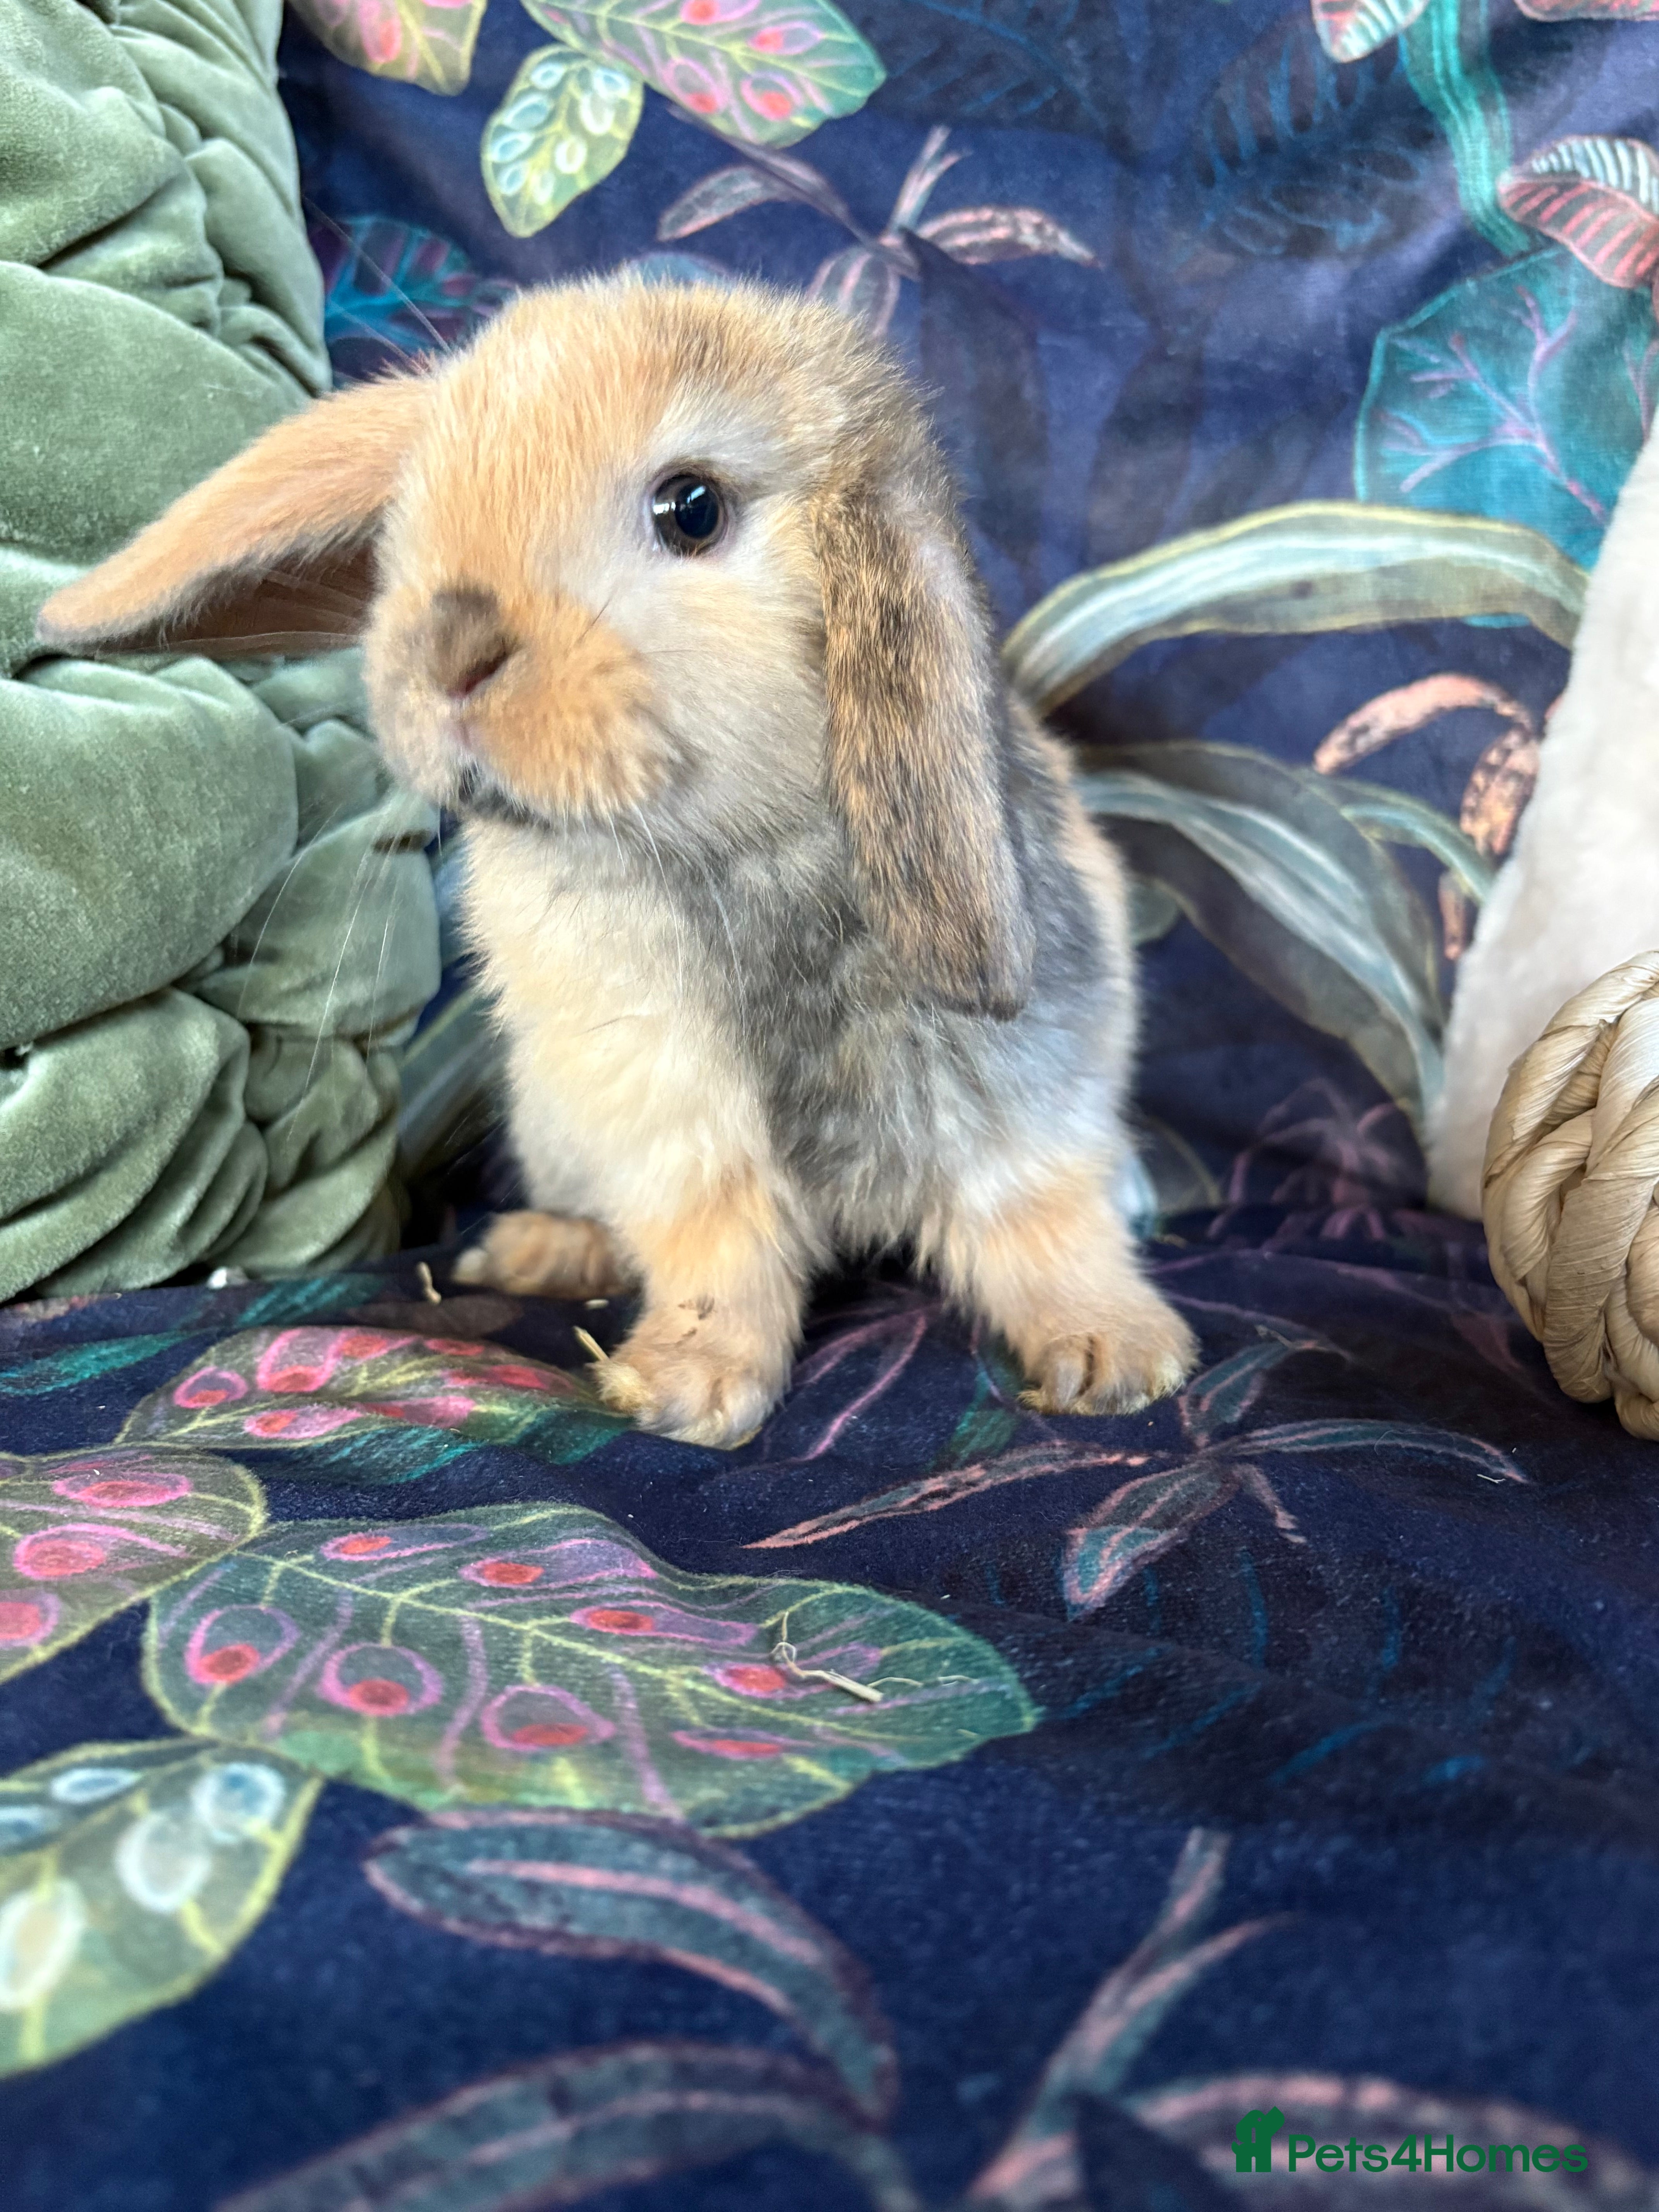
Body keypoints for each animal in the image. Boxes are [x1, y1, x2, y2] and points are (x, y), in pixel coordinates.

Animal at [36, 272, 1197, 1448]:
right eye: (414, 506)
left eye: (693, 508)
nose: (449, 647)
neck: (738, 862)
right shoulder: (672, 1123)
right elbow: (717, 1252)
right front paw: (685, 1391)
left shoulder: (1026, 1095)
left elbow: (1040, 1222)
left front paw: (1115, 1360)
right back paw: (539, 1253)